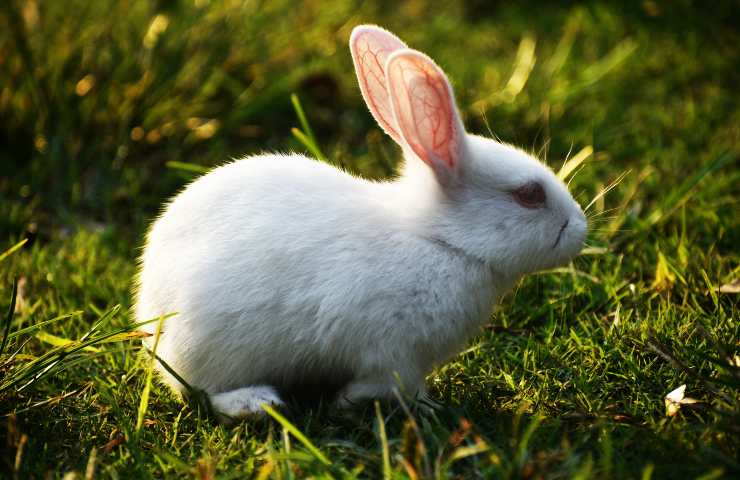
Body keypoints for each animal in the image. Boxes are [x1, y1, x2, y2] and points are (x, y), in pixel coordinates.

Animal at [135, 25, 587, 423]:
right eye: (529, 194)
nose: (581, 228)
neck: (439, 240)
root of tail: (149, 307)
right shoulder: (393, 354)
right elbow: (392, 385)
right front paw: (394, 405)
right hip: (209, 346)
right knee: (198, 389)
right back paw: (255, 403)